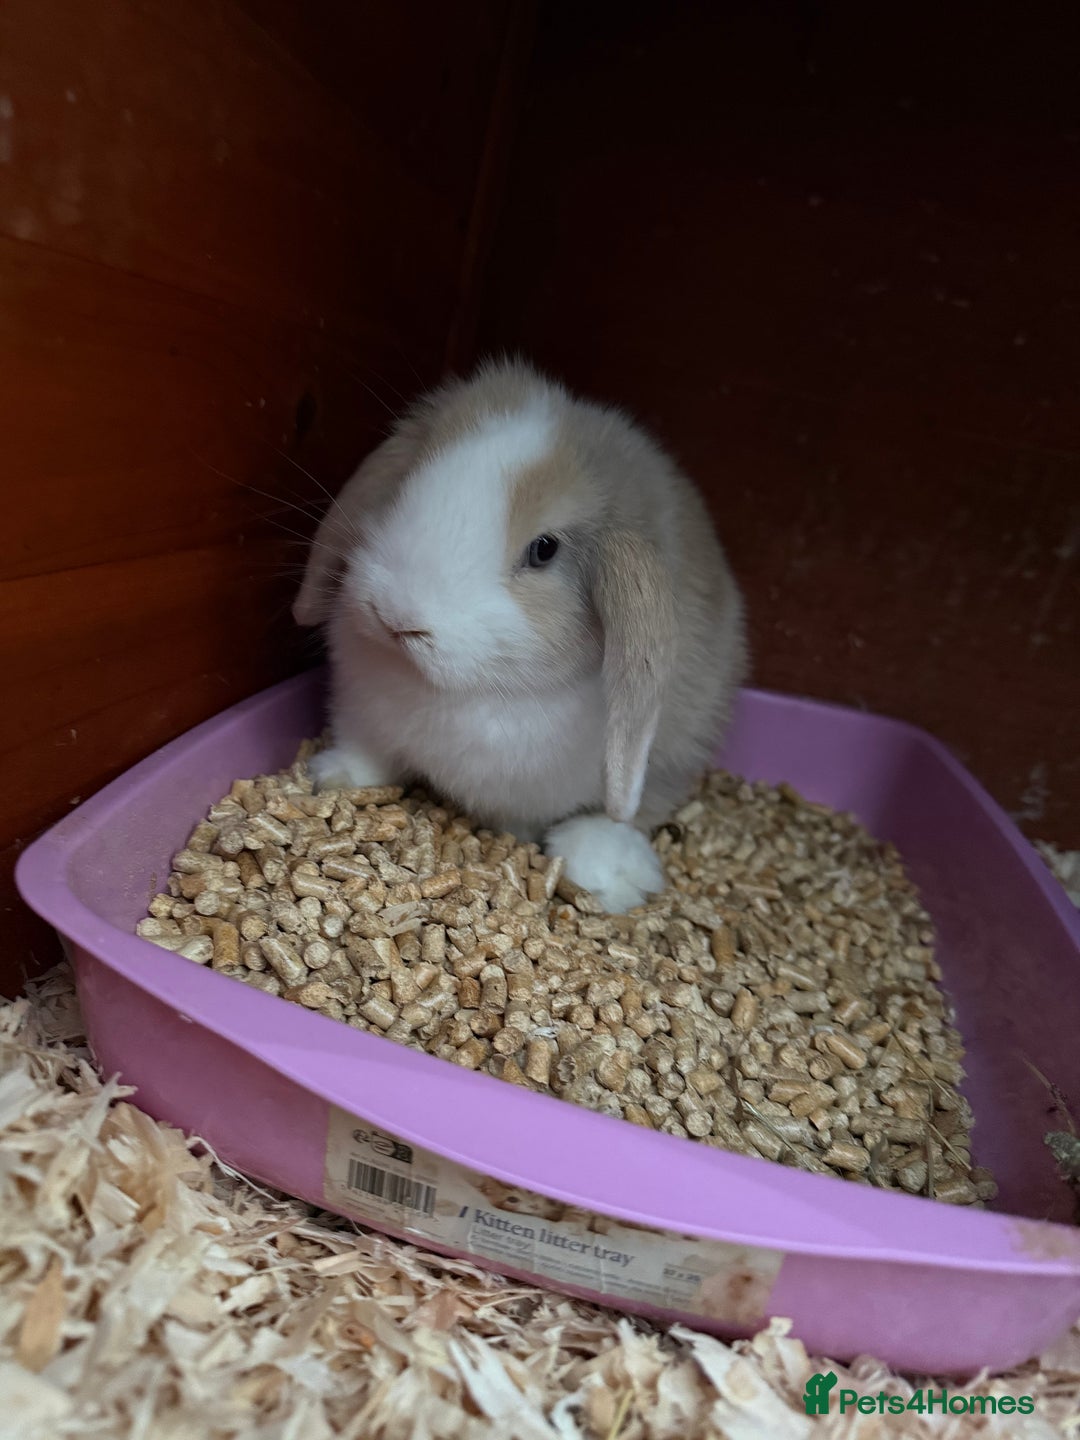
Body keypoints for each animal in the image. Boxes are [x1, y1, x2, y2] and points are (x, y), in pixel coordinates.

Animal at [293, 358, 747, 914]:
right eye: (405, 487)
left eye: (544, 549)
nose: (397, 616)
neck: (470, 691)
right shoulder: (363, 713)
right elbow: (367, 750)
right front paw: (334, 777)